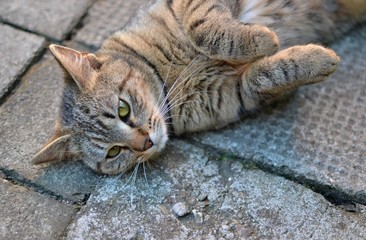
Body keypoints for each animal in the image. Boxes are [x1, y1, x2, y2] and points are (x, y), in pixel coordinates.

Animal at [31, 0, 366, 173]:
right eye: (114, 152)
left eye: (123, 109)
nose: (146, 143)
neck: (167, 78)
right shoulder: (235, 94)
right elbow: (265, 75)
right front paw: (316, 60)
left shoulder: (187, 5)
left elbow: (203, 26)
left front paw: (260, 38)